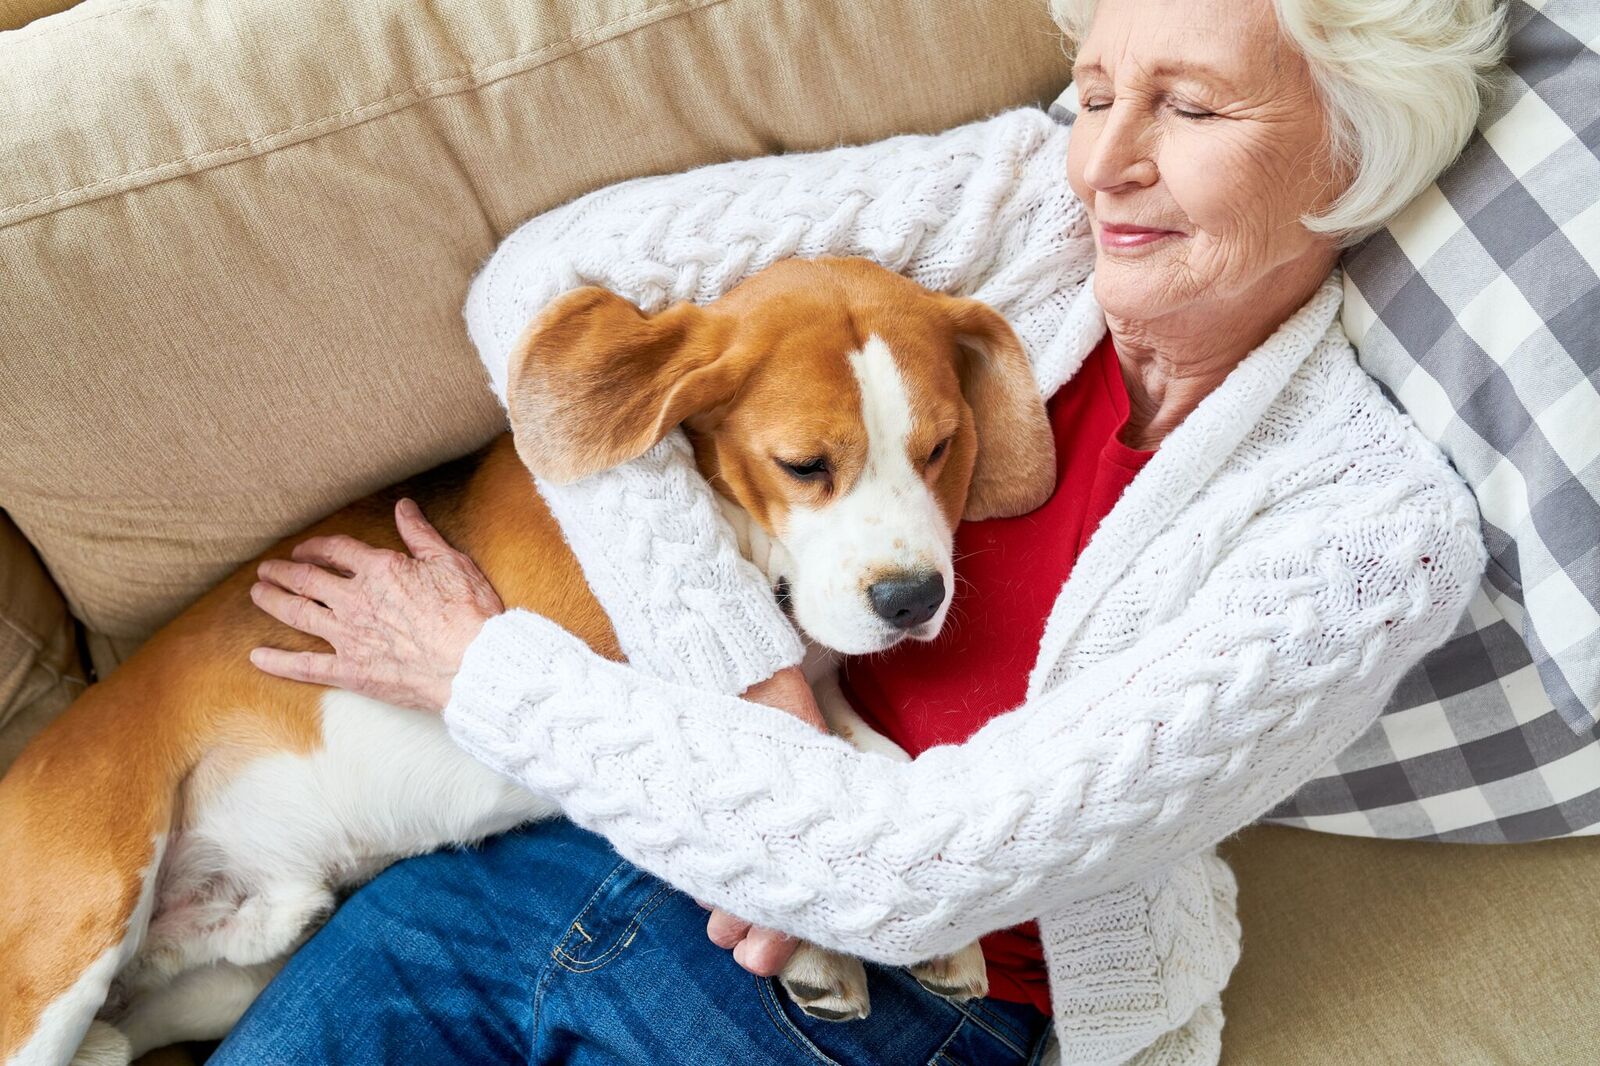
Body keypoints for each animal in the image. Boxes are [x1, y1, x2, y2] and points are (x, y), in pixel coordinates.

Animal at [0, 252, 1056, 1056]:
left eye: (940, 448)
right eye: (804, 465)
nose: (913, 600)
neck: (745, 544)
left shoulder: (808, 686)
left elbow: (871, 755)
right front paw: (810, 950)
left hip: (227, 971)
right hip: (75, 930)